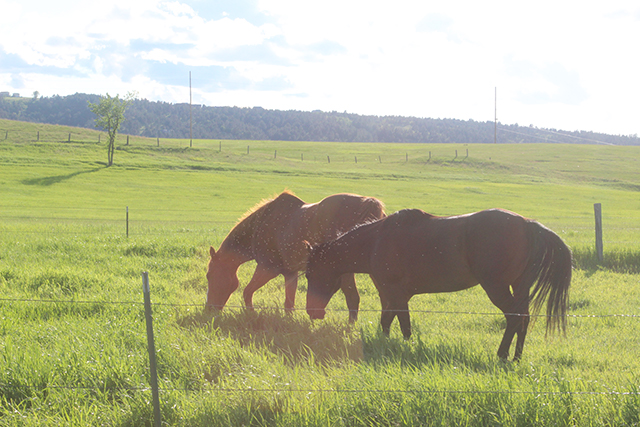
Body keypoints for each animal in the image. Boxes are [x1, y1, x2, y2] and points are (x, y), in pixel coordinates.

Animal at [206, 191, 385, 322]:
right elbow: (289, 303)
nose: (209, 308)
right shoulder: (290, 272)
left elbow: (247, 292)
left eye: (209, 275)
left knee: (353, 299)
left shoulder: (267, 268)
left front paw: (251, 314)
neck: (260, 225)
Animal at [305, 208, 572, 361]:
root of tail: (527, 225)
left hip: (496, 288)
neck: (375, 242)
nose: (312, 312)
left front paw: (405, 348)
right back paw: (517, 357)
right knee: (524, 318)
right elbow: (387, 322)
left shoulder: (396, 293)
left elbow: (403, 325)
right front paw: (385, 344)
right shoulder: (394, 295)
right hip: (520, 287)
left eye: (309, 274)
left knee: (514, 318)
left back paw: (502, 354)